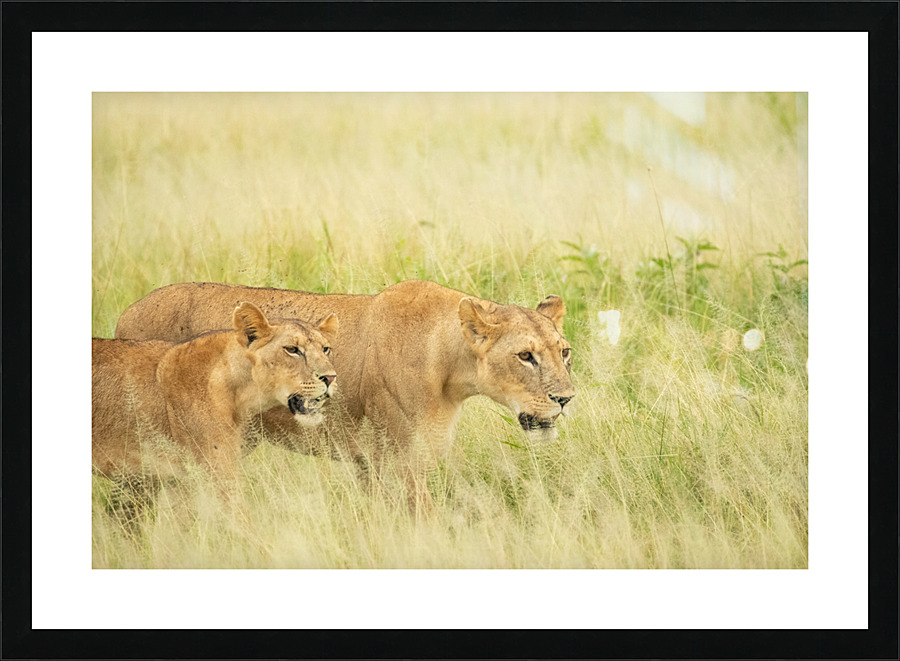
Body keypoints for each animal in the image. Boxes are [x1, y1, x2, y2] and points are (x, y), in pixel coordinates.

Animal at [93, 301, 338, 485]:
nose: (330, 378)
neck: (240, 393)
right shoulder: (217, 471)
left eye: (326, 349)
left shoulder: (181, 481)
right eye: (292, 350)